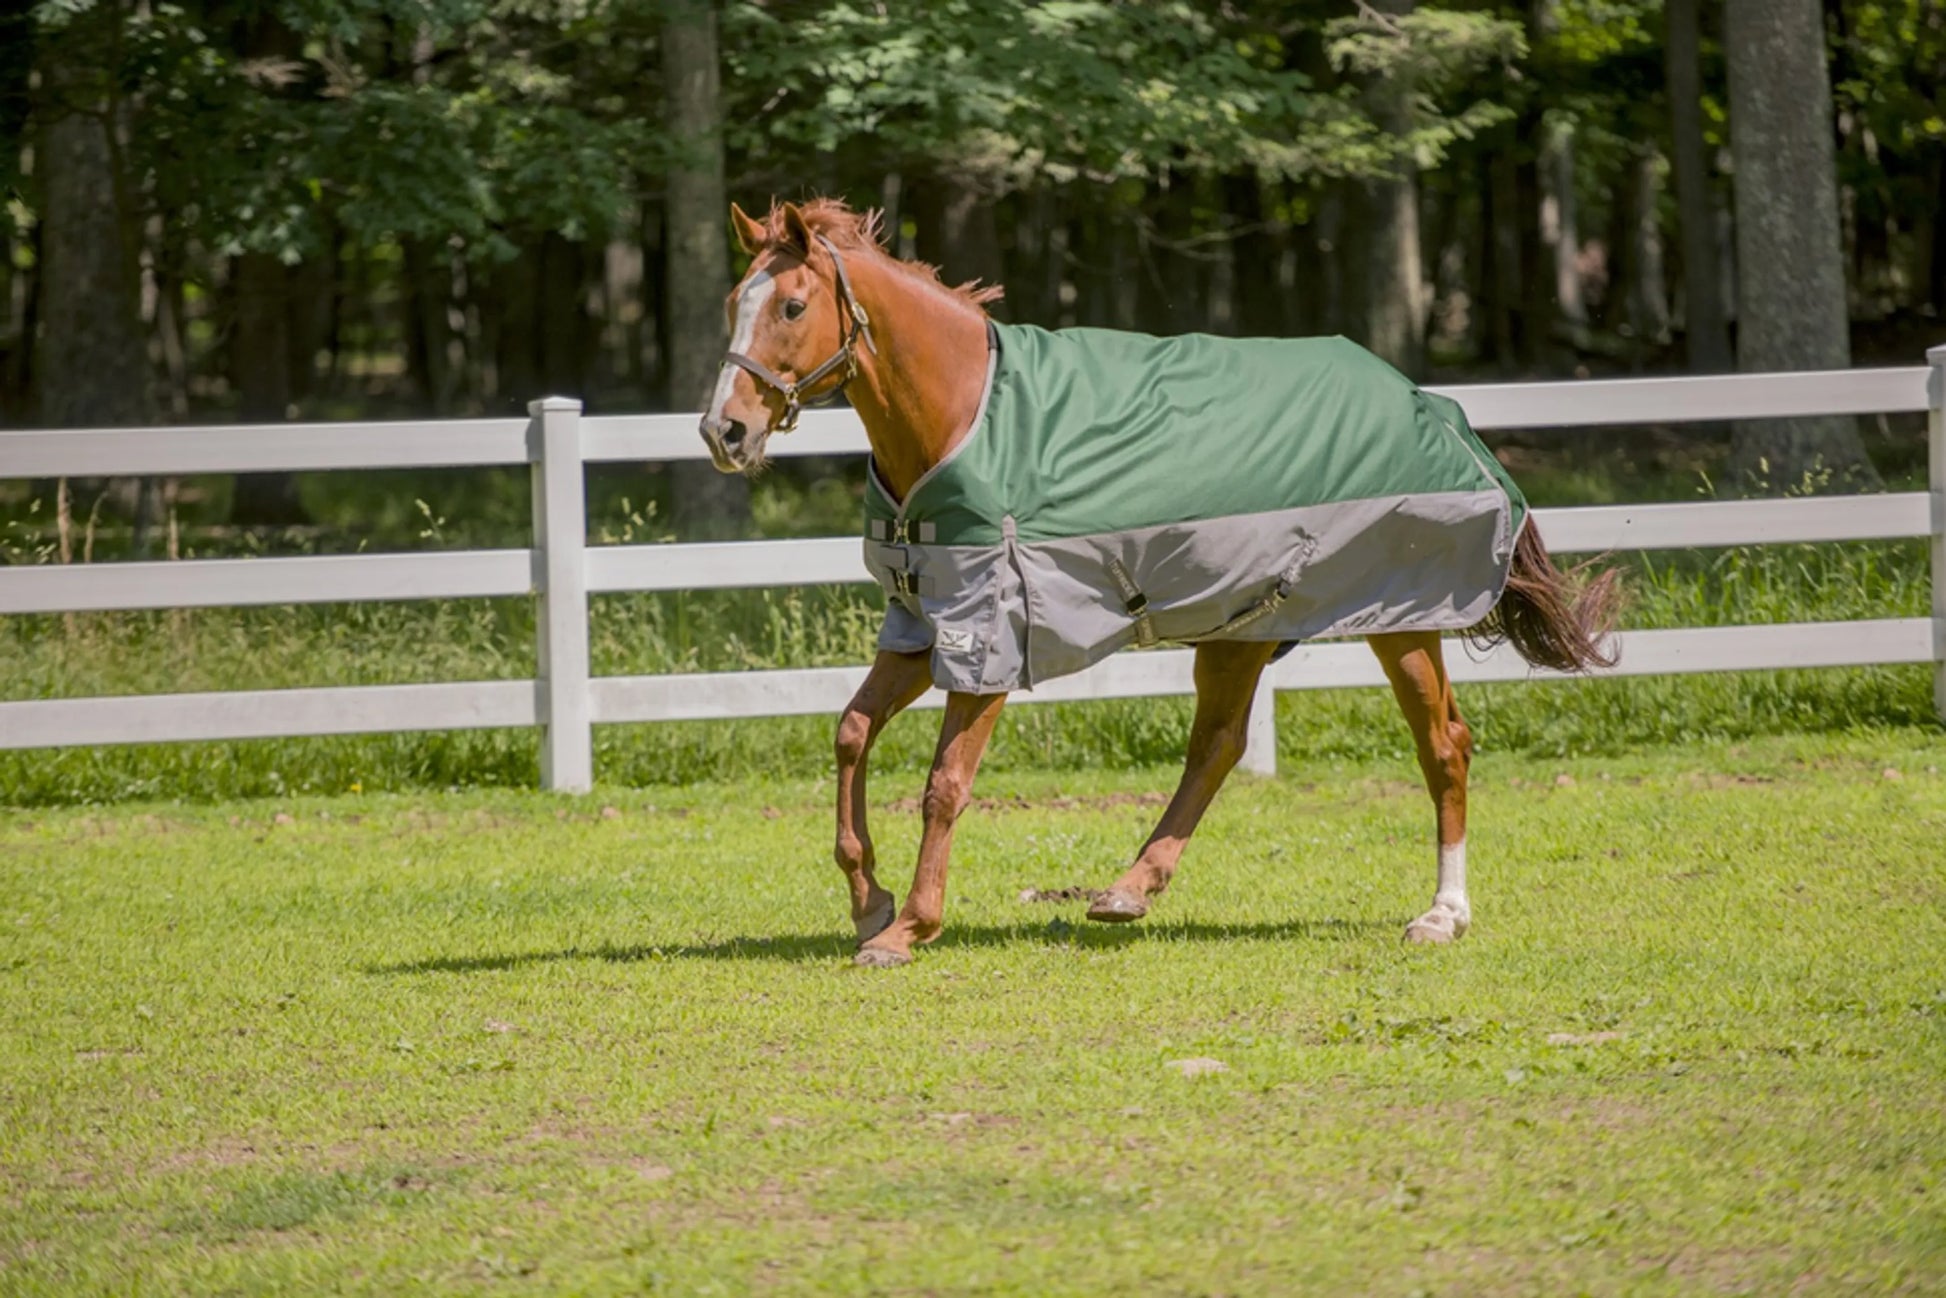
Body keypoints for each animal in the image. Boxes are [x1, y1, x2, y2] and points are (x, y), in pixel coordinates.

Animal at [699, 198, 1617, 969]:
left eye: (791, 307)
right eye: (733, 301)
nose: (723, 431)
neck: (962, 417)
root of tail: (1438, 409)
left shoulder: (989, 637)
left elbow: (944, 784)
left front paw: (909, 928)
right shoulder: (922, 626)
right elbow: (851, 733)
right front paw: (869, 899)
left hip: (1403, 618)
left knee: (1443, 745)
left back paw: (1442, 914)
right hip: (1244, 625)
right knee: (1217, 746)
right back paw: (1128, 890)